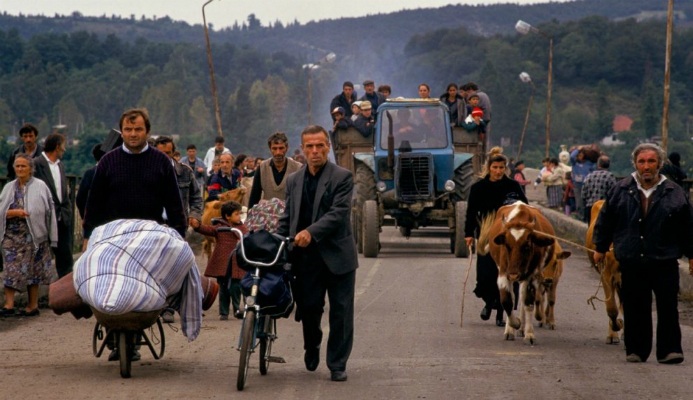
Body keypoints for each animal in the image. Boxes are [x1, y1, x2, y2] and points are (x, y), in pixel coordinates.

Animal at [482, 202, 564, 346]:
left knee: (523, 298)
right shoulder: (503, 273)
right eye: (507, 245)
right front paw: (514, 325)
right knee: (514, 297)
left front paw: (529, 334)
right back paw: (511, 330)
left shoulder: (532, 276)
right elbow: (507, 301)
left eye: (527, 246)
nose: (514, 275)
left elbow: (528, 303)